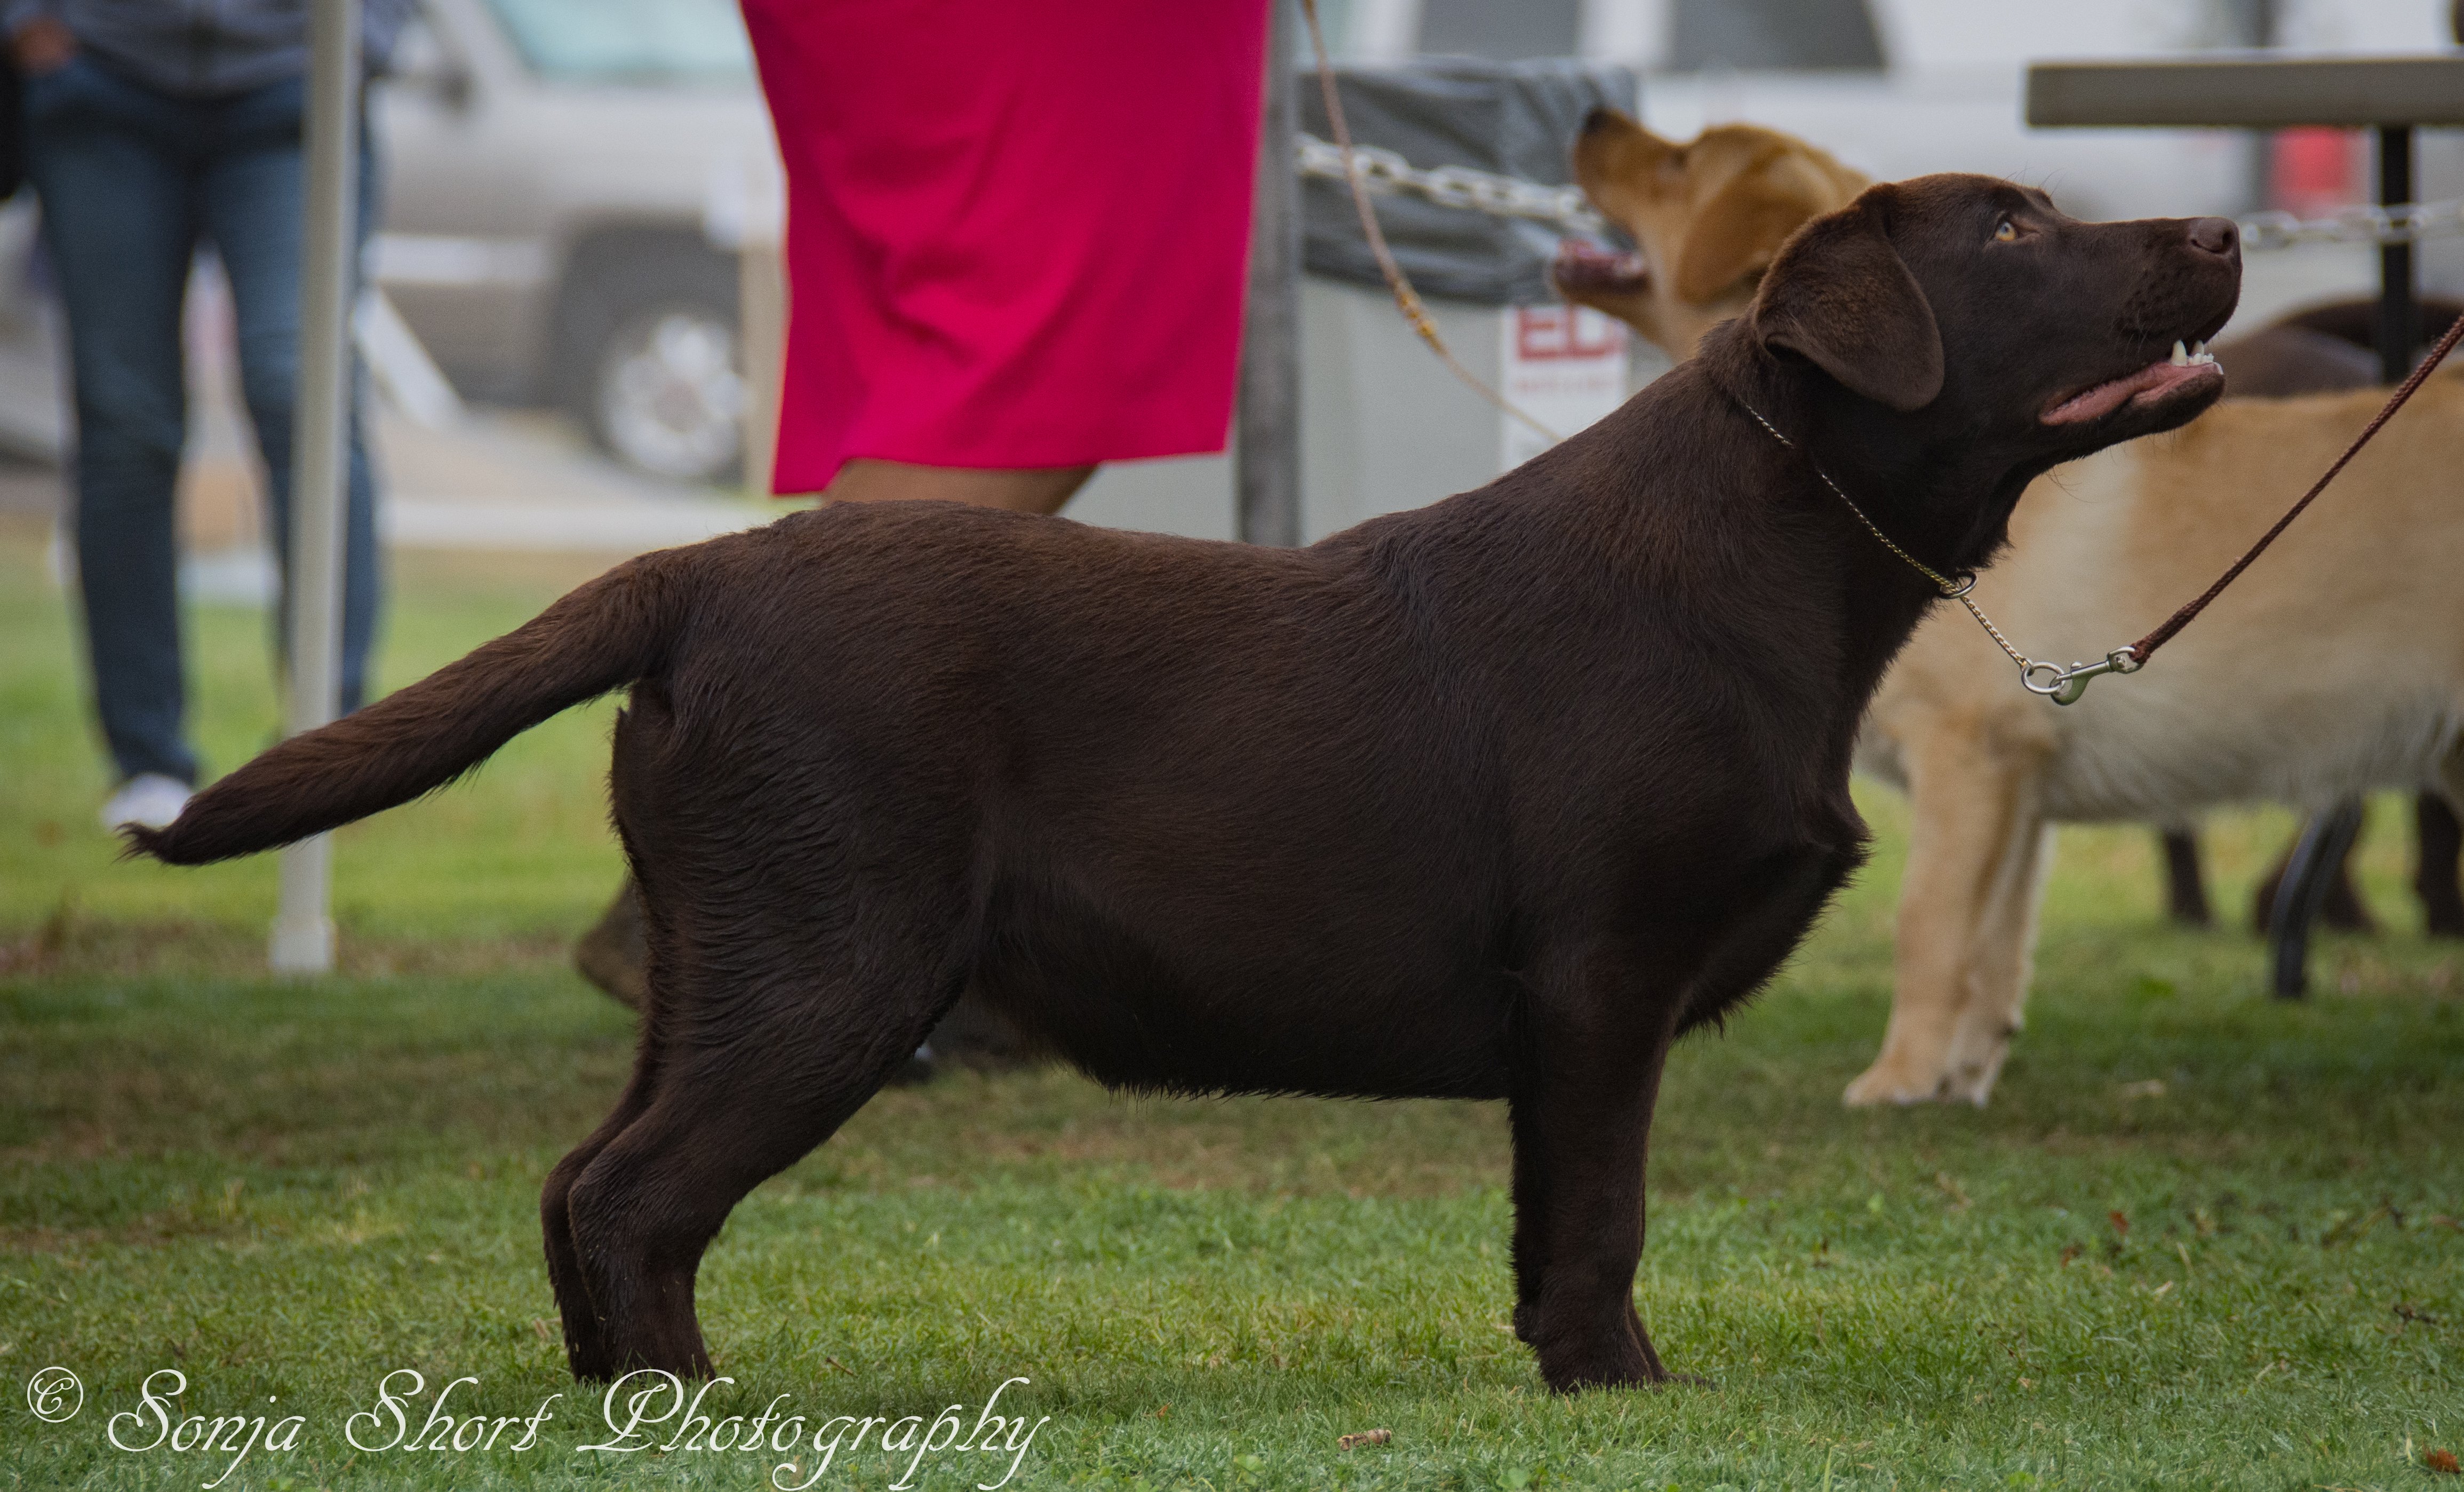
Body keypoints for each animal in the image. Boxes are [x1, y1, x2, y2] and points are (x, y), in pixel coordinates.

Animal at [1557, 108, 2464, 1105]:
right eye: (2009, 228)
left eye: (1679, 161)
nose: (1590, 117)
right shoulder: (2019, 785)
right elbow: (1992, 950)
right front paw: (1961, 1075)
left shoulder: (1966, 754)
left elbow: (1924, 928)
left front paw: (1898, 1078)